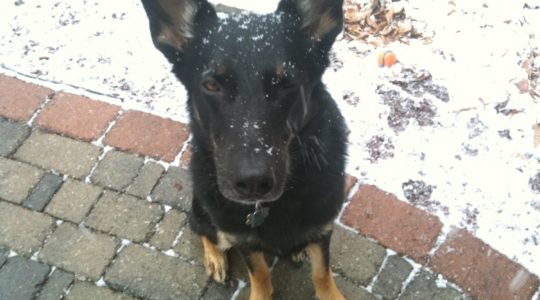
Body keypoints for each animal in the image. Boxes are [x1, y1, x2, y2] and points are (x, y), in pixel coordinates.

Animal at [141, 1, 348, 298]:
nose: (252, 182)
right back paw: (215, 258)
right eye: (211, 85)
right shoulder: (243, 240)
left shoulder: (322, 230)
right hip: (205, 211)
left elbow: (321, 273)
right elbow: (259, 274)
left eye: (286, 84)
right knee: (202, 229)